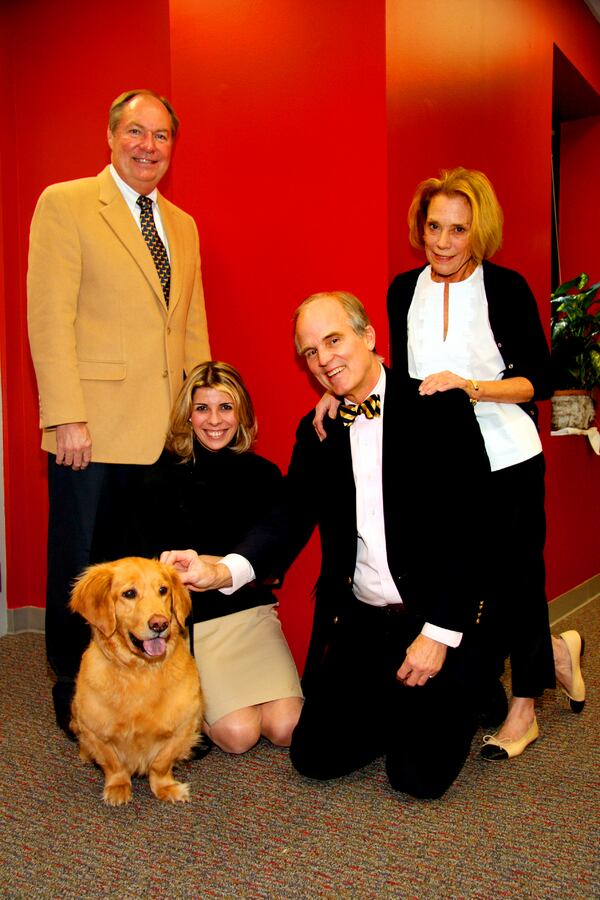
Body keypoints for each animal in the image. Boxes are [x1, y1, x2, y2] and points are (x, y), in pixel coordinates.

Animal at [69, 560, 203, 804]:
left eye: (163, 590)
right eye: (129, 593)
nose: (160, 624)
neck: (140, 671)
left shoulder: (185, 725)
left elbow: (161, 763)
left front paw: (166, 787)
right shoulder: (93, 729)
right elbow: (113, 764)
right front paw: (118, 786)